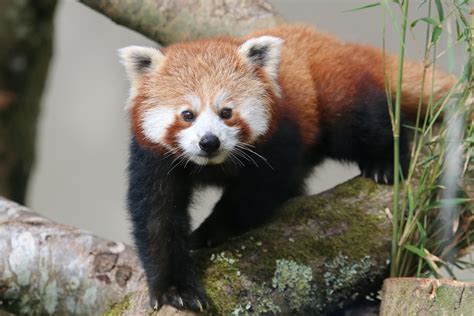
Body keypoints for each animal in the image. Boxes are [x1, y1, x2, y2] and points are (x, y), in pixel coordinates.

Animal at [118, 24, 456, 312]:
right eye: (187, 115)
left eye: (226, 112)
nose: (209, 142)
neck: (213, 164)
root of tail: (336, 43)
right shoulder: (154, 159)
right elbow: (157, 219)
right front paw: (175, 289)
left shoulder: (278, 141)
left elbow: (256, 195)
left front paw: (210, 231)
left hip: (334, 96)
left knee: (368, 122)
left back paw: (385, 161)